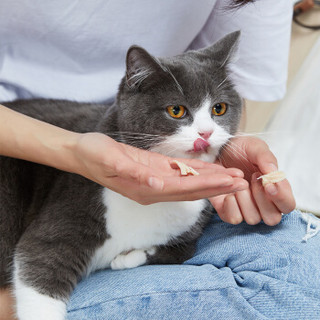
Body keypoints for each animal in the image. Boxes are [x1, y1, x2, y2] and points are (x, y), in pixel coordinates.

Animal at [0, 30, 242, 320]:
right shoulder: (66, 215)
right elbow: (39, 260)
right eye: (176, 111)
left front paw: (126, 258)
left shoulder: (190, 228)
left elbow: (183, 250)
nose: (206, 133)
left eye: (219, 109)